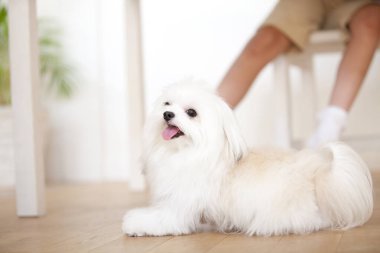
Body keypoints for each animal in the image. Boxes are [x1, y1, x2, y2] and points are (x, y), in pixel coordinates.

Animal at [122, 81, 374, 237]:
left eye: (191, 112)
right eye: (167, 104)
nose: (167, 114)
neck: (188, 151)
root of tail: (313, 172)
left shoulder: (177, 208)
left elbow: (157, 220)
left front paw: (133, 224)